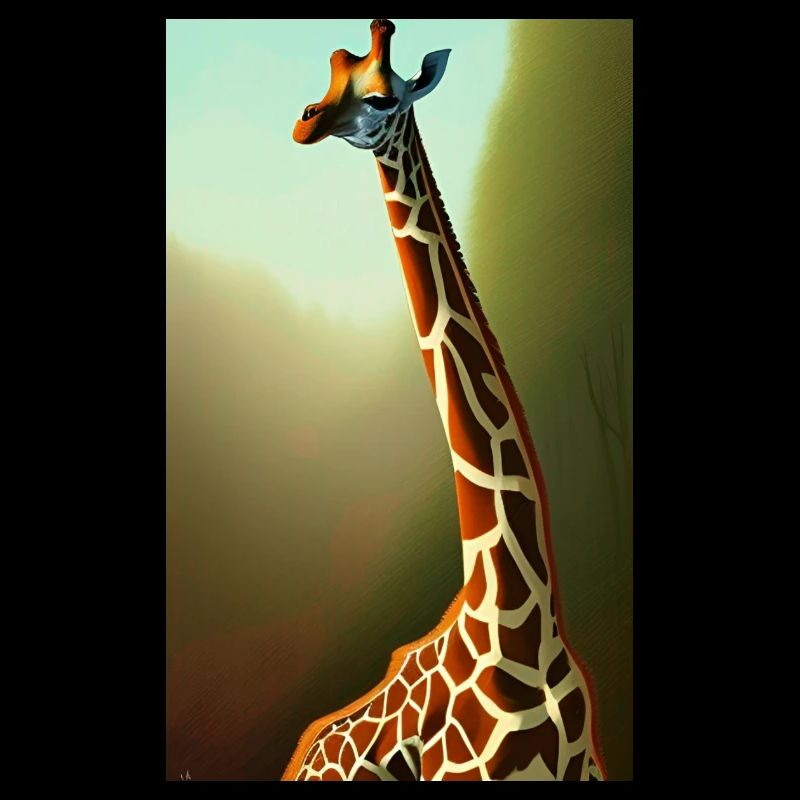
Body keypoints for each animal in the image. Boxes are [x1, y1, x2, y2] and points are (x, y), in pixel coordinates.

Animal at [282, 19, 607, 781]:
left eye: (379, 95)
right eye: (331, 78)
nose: (304, 123)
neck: (524, 625)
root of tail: (302, 758)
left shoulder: (588, 764)